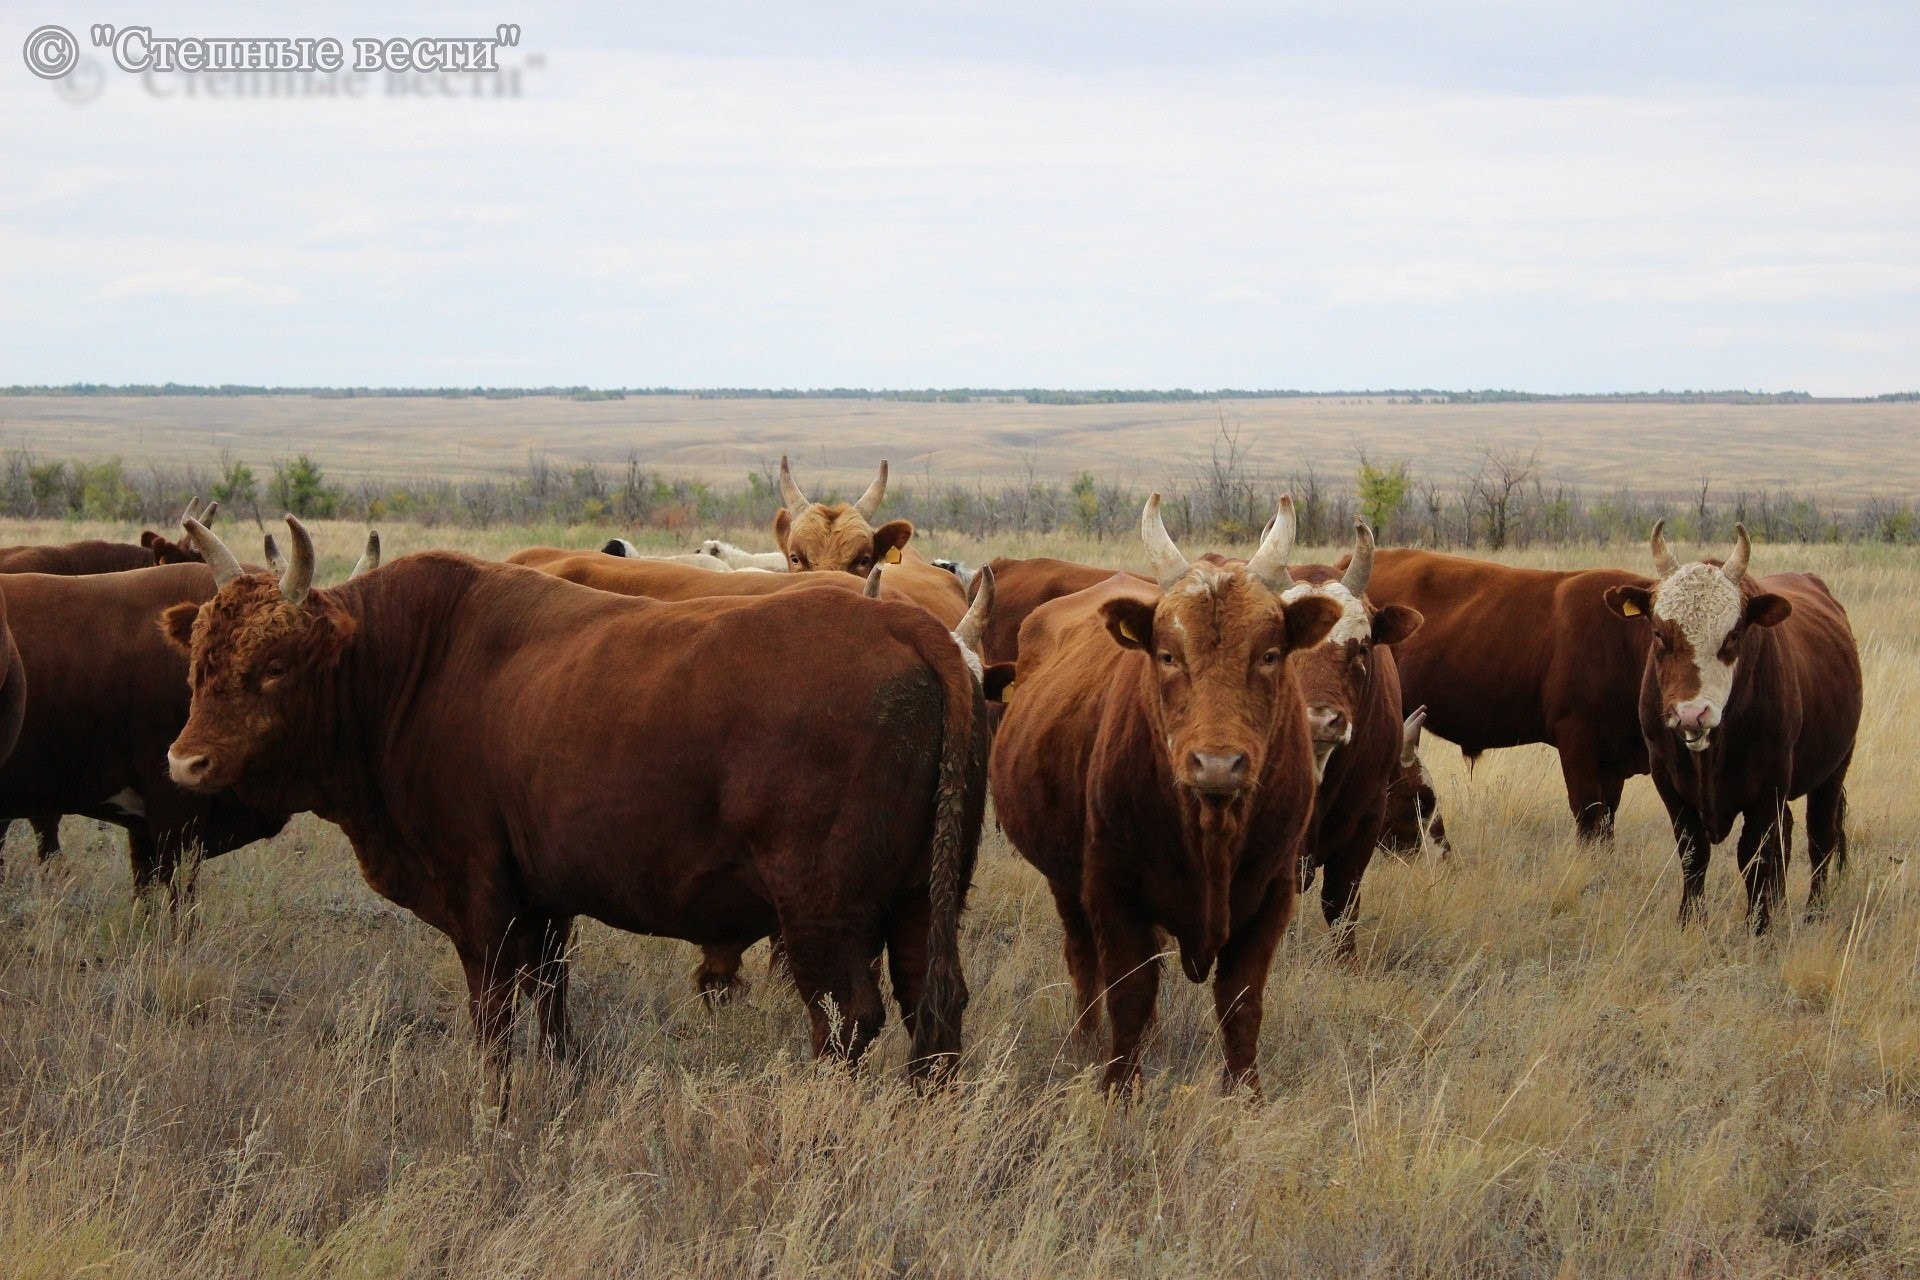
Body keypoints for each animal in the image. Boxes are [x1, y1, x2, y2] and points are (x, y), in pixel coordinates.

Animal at [165, 518, 990, 1090]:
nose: (186, 760)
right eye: (200, 656)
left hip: (823, 913)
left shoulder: (480, 901)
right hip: (922, 900)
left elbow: (494, 1014)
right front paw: (563, 1080)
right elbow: (552, 999)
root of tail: (916, 631)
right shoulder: (545, 901)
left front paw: (494, 1108)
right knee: (933, 1004)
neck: (409, 666)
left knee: (849, 1018)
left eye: (275, 663)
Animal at [990, 495, 1336, 1097]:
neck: (1212, 831)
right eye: (1169, 655)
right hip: (1065, 882)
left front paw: (1246, 1094)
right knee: (1083, 961)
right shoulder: (1112, 889)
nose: (1217, 764)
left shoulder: (1273, 893)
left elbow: (1242, 1003)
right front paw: (1119, 1090)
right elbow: (1128, 993)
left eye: (1270, 654)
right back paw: (1086, 1040)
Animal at [1605, 521, 1858, 932]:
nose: (1692, 714)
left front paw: (1760, 926)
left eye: (1733, 636)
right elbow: (1693, 853)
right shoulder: (1667, 780)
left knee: (1821, 837)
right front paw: (1690, 921)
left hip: (1834, 769)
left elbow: (1755, 856)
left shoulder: (1769, 784)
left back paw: (1814, 912)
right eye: (1658, 633)